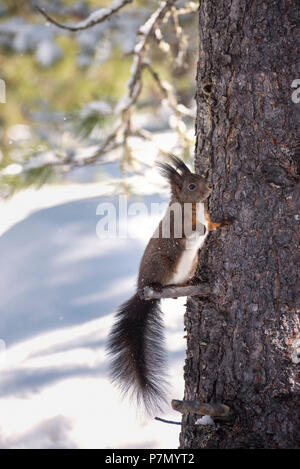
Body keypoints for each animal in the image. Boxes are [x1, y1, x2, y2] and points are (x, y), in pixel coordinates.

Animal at [106, 154, 226, 414]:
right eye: (191, 186)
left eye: (200, 177)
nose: (210, 188)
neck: (192, 207)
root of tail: (142, 291)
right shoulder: (178, 226)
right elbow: (189, 233)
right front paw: (200, 228)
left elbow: (212, 225)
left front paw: (223, 223)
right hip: (161, 264)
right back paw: (160, 287)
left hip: (191, 265)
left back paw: (189, 284)